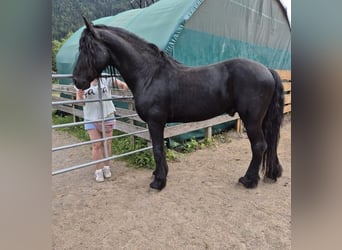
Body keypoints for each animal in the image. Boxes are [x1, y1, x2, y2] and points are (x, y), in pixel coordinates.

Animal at [73, 17, 284, 189]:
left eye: (87, 48)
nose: (77, 81)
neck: (150, 74)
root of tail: (267, 69)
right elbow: (159, 149)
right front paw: (159, 174)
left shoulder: (155, 122)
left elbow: (158, 150)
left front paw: (159, 182)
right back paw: (271, 174)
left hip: (252, 120)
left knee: (259, 146)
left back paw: (248, 180)